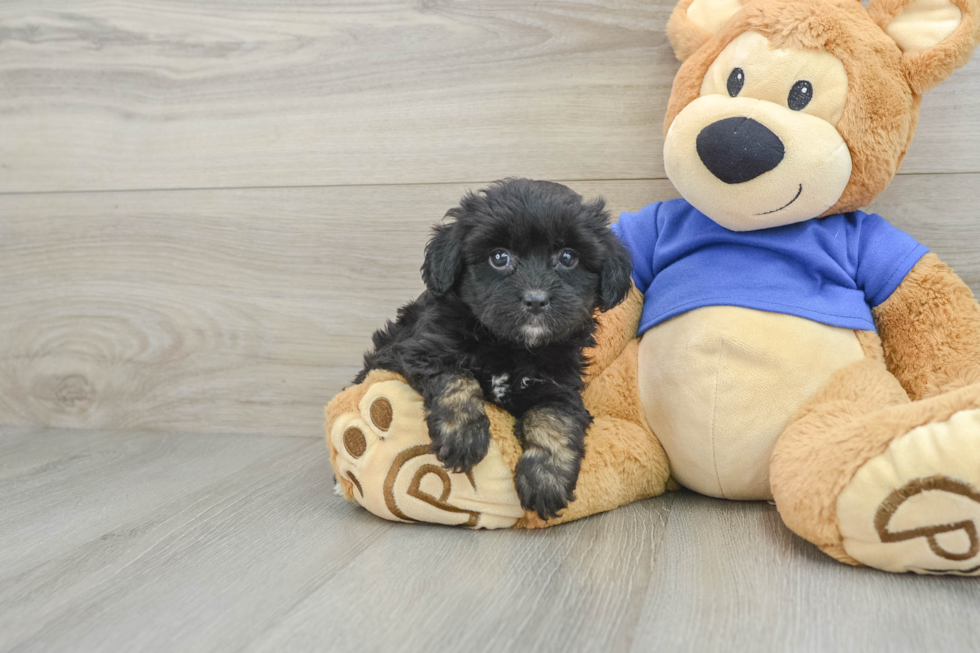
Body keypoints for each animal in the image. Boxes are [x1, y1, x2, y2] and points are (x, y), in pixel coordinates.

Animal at [356, 178, 632, 520]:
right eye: (499, 258)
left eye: (568, 258)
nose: (536, 300)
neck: (511, 345)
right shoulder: (419, 350)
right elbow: (456, 377)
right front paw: (462, 436)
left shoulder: (559, 386)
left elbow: (556, 419)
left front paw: (547, 480)